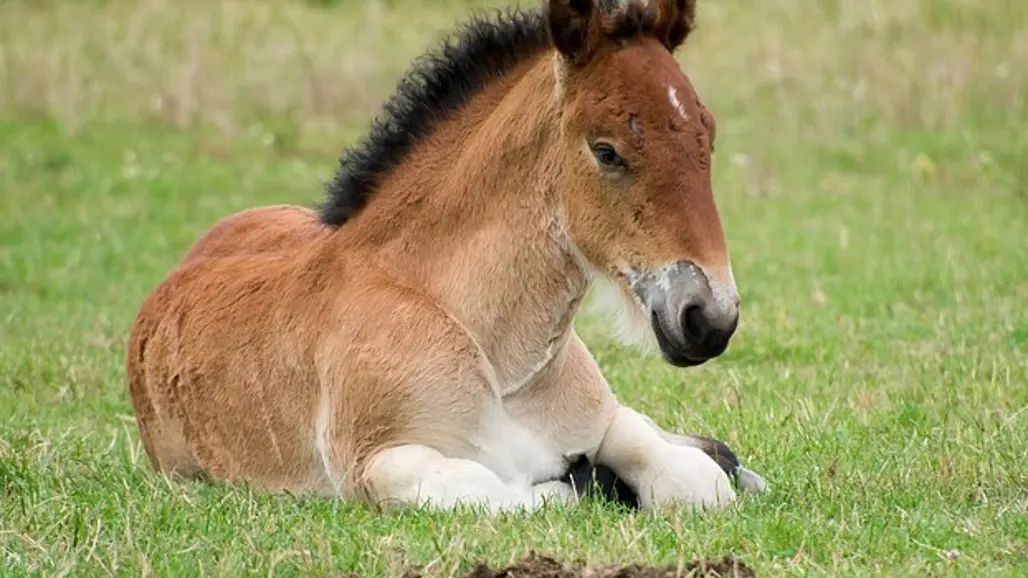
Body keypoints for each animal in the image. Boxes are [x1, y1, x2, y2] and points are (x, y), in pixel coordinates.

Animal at [126, 0, 766, 513]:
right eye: (606, 151)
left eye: (707, 138)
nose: (709, 317)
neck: (496, 356)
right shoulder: (379, 465)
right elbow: (509, 492)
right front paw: (592, 482)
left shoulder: (605, 420)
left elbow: (696, 480)